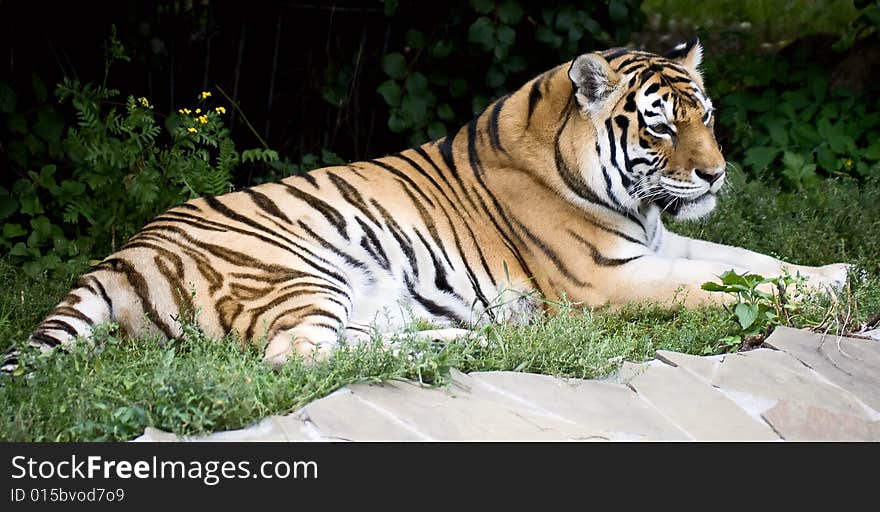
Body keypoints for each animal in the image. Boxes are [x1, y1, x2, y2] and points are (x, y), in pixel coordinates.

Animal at [1, 37, 852, 372]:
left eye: (705, 114)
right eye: (660, 125)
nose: (715, 175)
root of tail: (113, 259)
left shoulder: (659, 243)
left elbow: (749, 259)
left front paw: (837, 273)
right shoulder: (608, 278)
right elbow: (712, 286)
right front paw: (829, 287)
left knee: (360, 342)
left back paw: (469, 340)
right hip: (293, 273)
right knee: (297, 358)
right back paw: (469, 346)